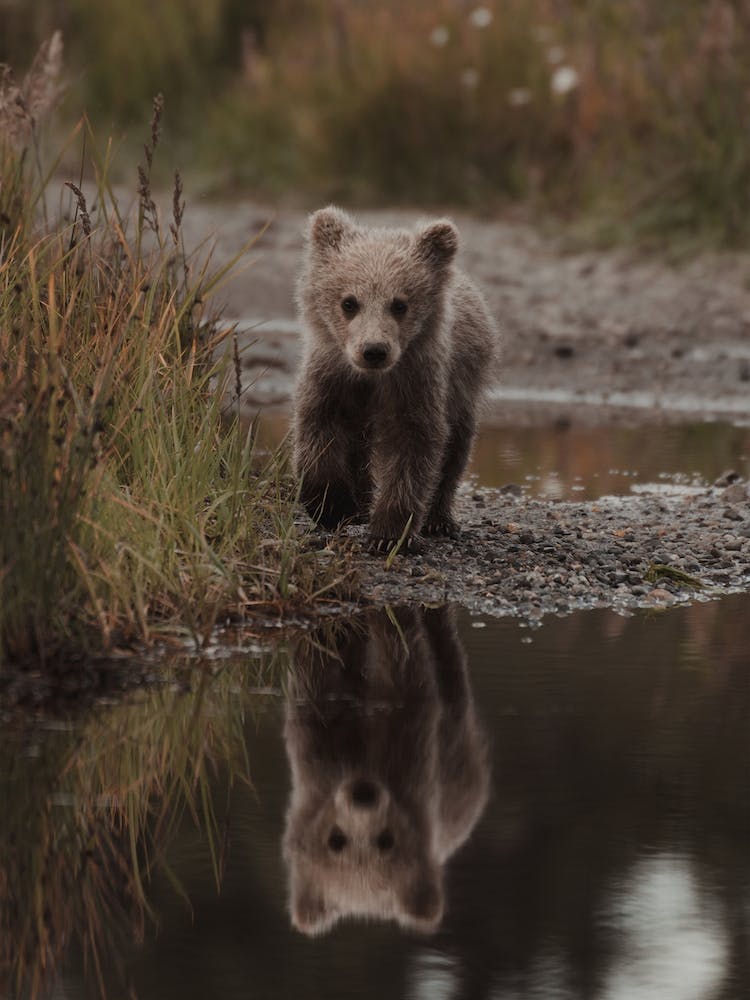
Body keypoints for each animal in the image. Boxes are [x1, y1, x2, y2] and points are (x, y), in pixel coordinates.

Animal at [282, 605, 490, 936]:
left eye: (387, 840)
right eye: (335, 840)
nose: (363, 796)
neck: (362, 760)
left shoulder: (410, 752)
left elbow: (403, 664)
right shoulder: (318, 756)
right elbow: (316, 672)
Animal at [292, 206, 498, 553]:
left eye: (399, 304)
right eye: (349, 302)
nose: (374, 350)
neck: (371, 379)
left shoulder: (415, 382)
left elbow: (413, 444)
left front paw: (389, 534)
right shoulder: (330, 376)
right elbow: (318, 429)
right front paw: (334, 506)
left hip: (463, 384)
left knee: (456, 446)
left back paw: (438, 518)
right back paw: (361, 504)